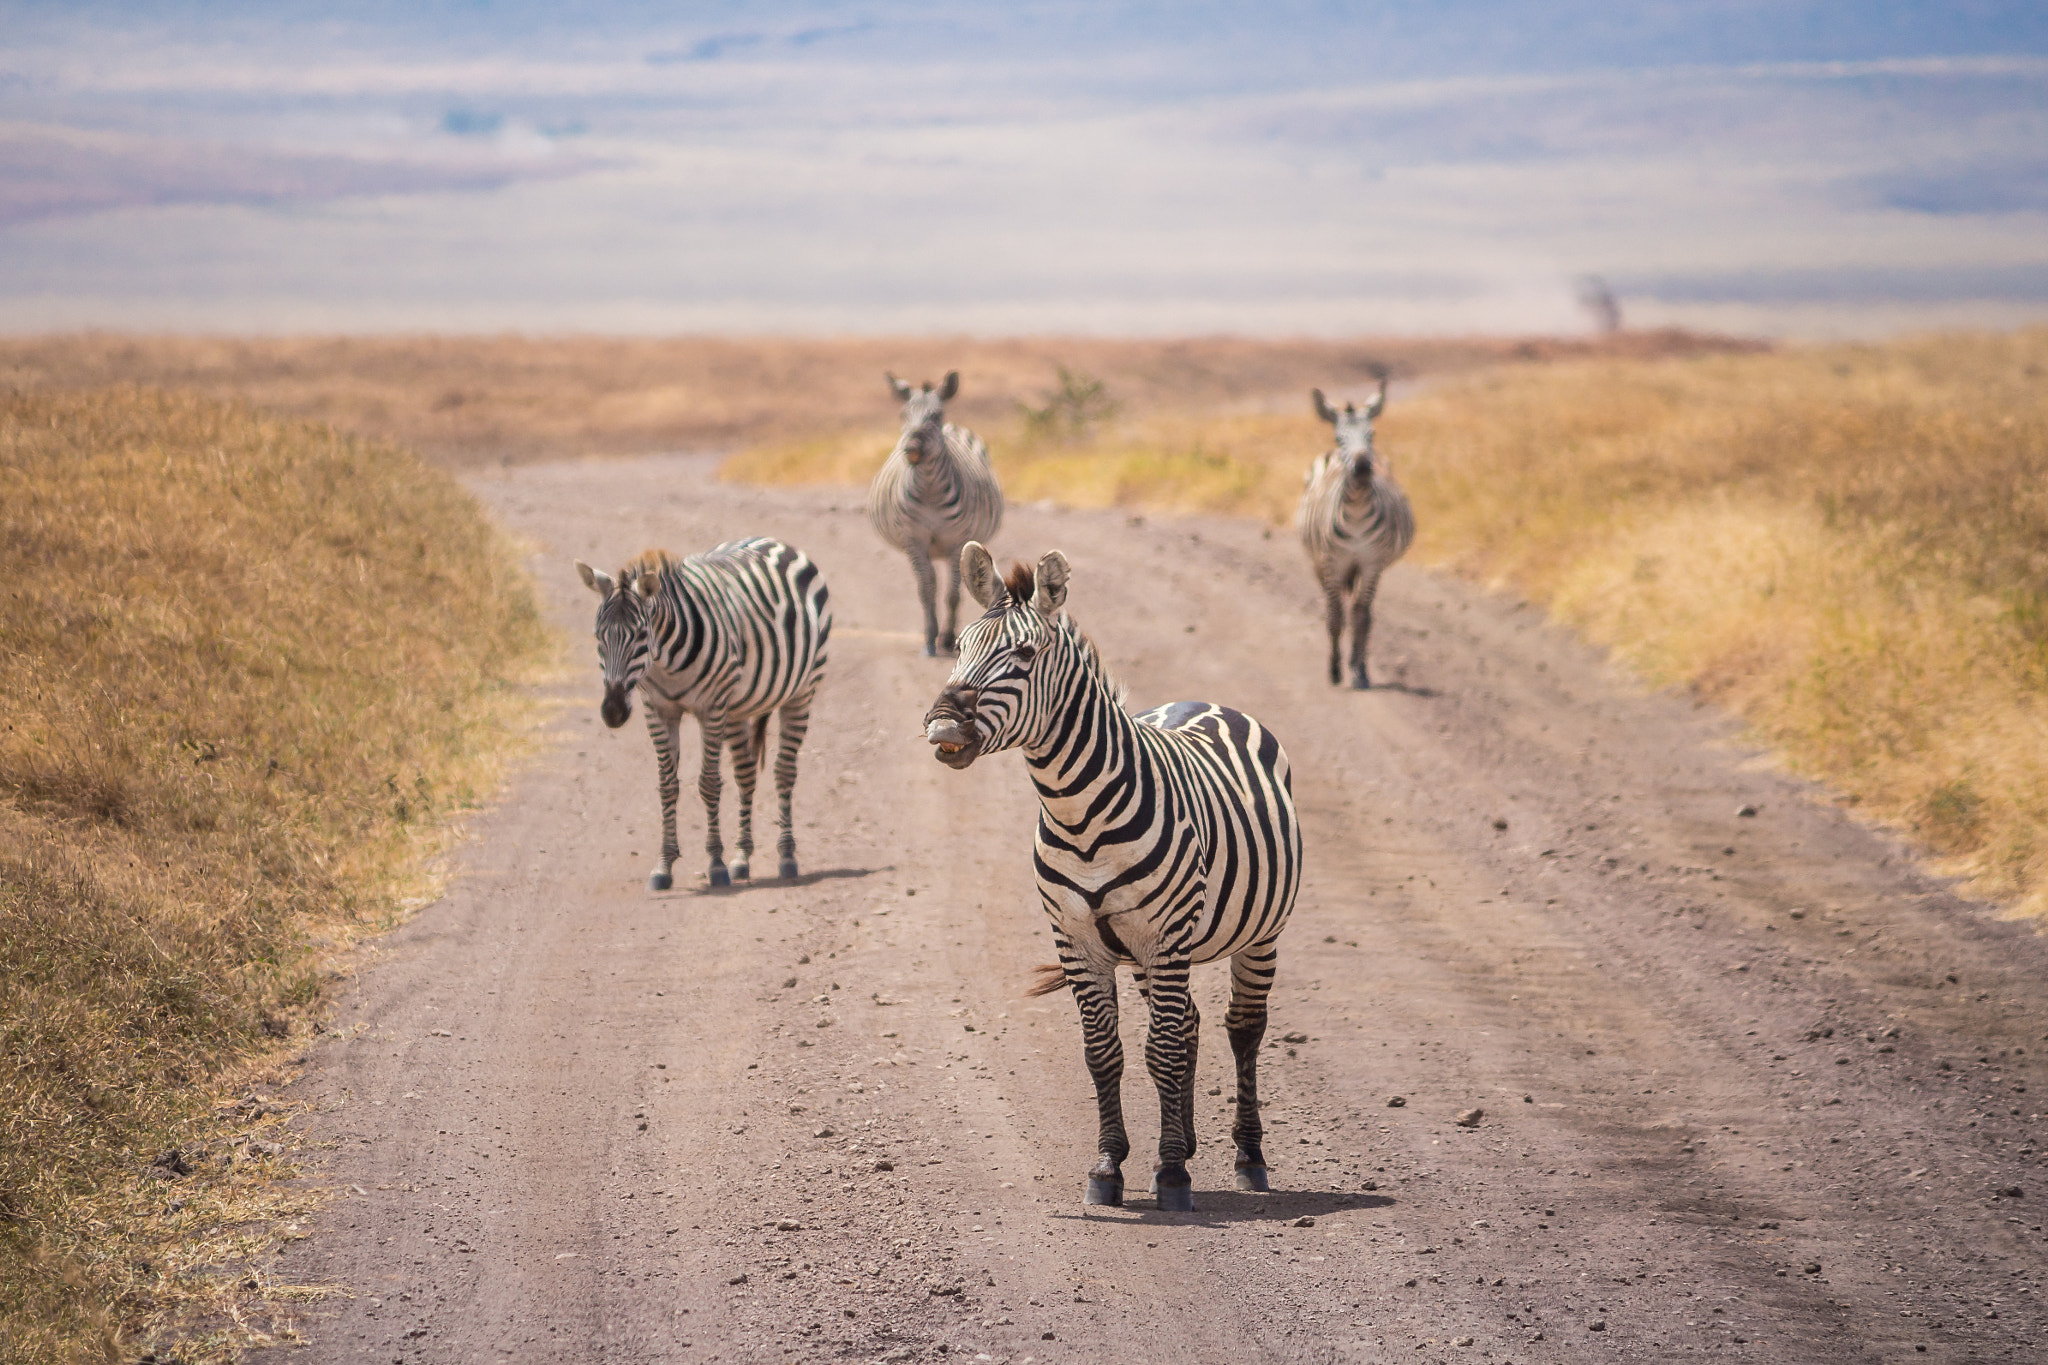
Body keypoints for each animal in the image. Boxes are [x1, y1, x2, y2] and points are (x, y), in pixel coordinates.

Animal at [574, 537, 830, 890]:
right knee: (746, 774)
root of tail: (775, 541)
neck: (665, 663)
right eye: (599, 636)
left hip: (801, 692)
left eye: (640, 635)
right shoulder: (658, 710)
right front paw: (664, 865)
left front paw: (716, 864)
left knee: (784, 772)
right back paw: (742, 858)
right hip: (738, 708)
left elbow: (709, 784)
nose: (612, 712)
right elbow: (668, 785)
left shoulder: (712, 707)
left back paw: (787, 856)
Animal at [868, 371, 1003, 656]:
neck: (930, 490)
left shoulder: (956, 541)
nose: (913, 448)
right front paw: (930, 638)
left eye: (936, 415)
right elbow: (926, 589)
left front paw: (948, 637)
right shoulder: (914, 540)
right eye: (903, 415)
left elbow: (953, 594)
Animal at [921, 542, 1301, 1212]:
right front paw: (1111, 1166)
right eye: (959, 646)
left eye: (1024, 655)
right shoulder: (1077, 940)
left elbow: (1162, 1050)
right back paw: (1189, 1142)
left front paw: (1170, 1175)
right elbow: (1107, 1053)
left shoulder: (1164, 937)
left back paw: (1248, 1158)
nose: (941, 729)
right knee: (1191, 1024)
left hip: (1257, 934)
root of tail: (1207, 701)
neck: (1079, 815)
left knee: (1242, 1029)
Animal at [1300, 377, 1415, 689]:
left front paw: (1359, 671)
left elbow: (1360, 616)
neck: (1357, 515)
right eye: (1338, 437)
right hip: (1318, 561)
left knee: (1365, 612)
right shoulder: (1332, 561)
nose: (1363, 468)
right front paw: (1335, 670)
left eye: (1371, 434)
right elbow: (1335, 616)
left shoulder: (1371, 562)